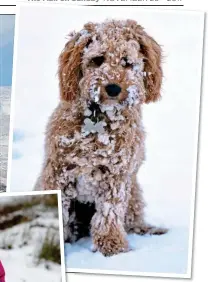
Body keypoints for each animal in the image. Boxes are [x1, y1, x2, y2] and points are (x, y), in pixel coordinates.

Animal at [34, 19, 167, 256]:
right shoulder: (58, 172)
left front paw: (112, 246)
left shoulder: (116, 175)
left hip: (133, 194)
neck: (100, 120)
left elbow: (108, 214)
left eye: (126, 62)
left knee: (131, 221)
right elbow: (61, 212)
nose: (113, 88)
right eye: (98, 60)